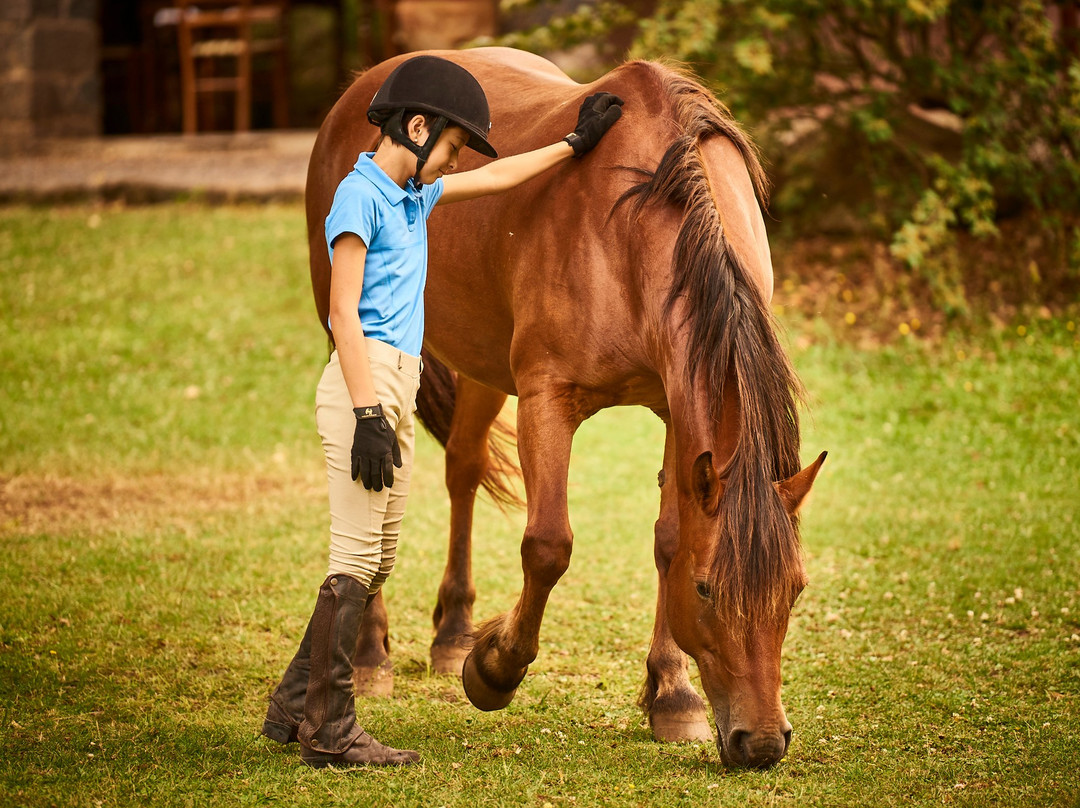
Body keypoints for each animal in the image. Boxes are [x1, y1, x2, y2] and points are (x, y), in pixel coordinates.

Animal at [304, 47, 825, 769]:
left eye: (795, 589)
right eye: (707, 590)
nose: (763, 742)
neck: (638, 218)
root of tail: (359, 89)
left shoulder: (676, 408)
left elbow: (668, 538)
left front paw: (672, 695)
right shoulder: (548, 399)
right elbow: (548, 545)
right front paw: (494, 669)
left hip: (483, 365)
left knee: (463, 468)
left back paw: (453, 634)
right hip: (359, 343)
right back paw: (371, 652)